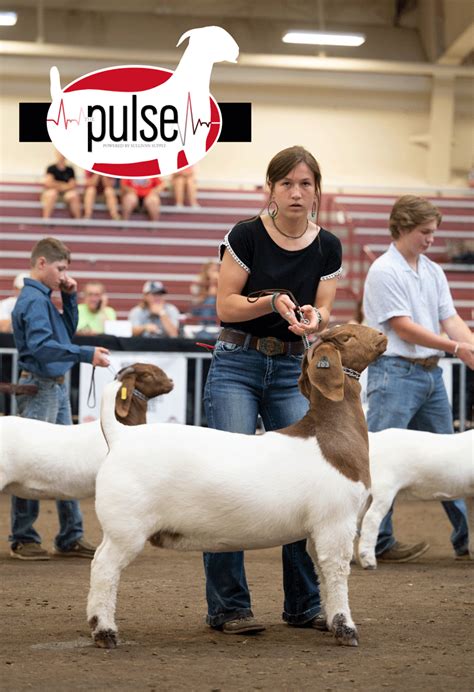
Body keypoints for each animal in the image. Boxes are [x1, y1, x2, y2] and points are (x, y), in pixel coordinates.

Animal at [89, 324, 388, 648]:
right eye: (345, 336)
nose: (381, 335)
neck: (329, 435)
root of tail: (121, 436)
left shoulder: (316, 529)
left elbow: (321, 571)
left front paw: (331, 622)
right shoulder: (337, 520)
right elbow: (336, 571)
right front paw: (346, 629)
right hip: (126, 527)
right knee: (105, 568)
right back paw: (105, 631)